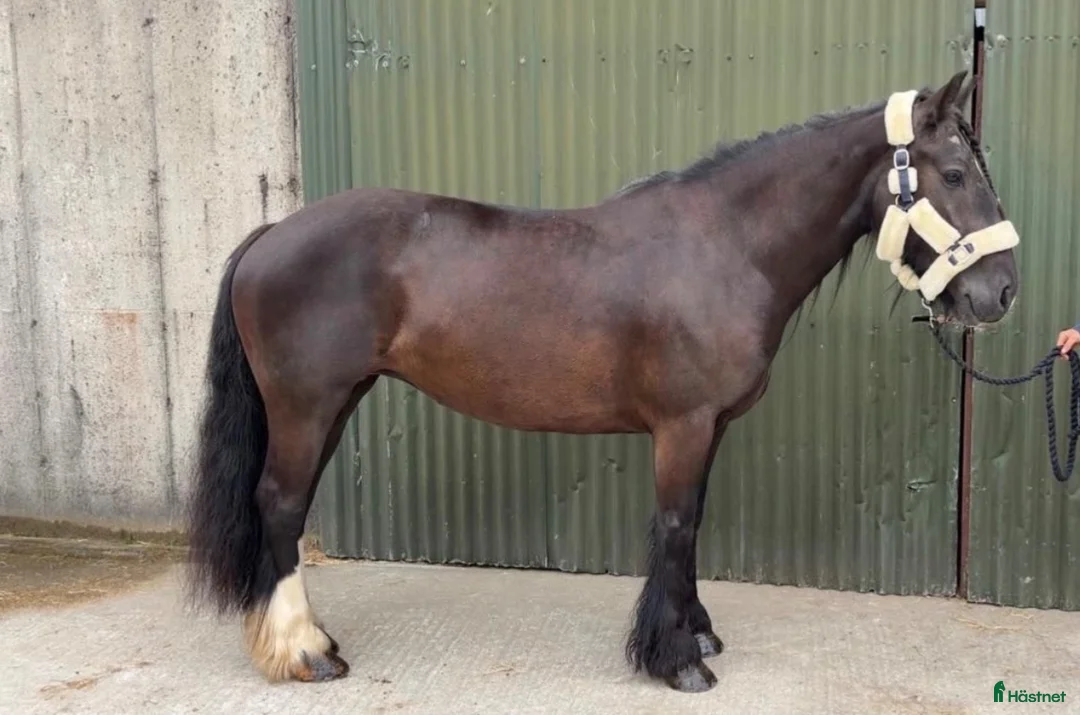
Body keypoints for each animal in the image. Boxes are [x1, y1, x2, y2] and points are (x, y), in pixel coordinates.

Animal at [185, 70, 1020, 693]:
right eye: (954, 173)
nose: (1001, 292)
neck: (725, 245)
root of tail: (273, 234)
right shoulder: (682, 426)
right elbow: (675, 525)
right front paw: (675, 659)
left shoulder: (709, 427)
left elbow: (694, 523)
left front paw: (697, 633)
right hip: (306, 406)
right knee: (280, 504)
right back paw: (305, 650)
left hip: (334, 403)